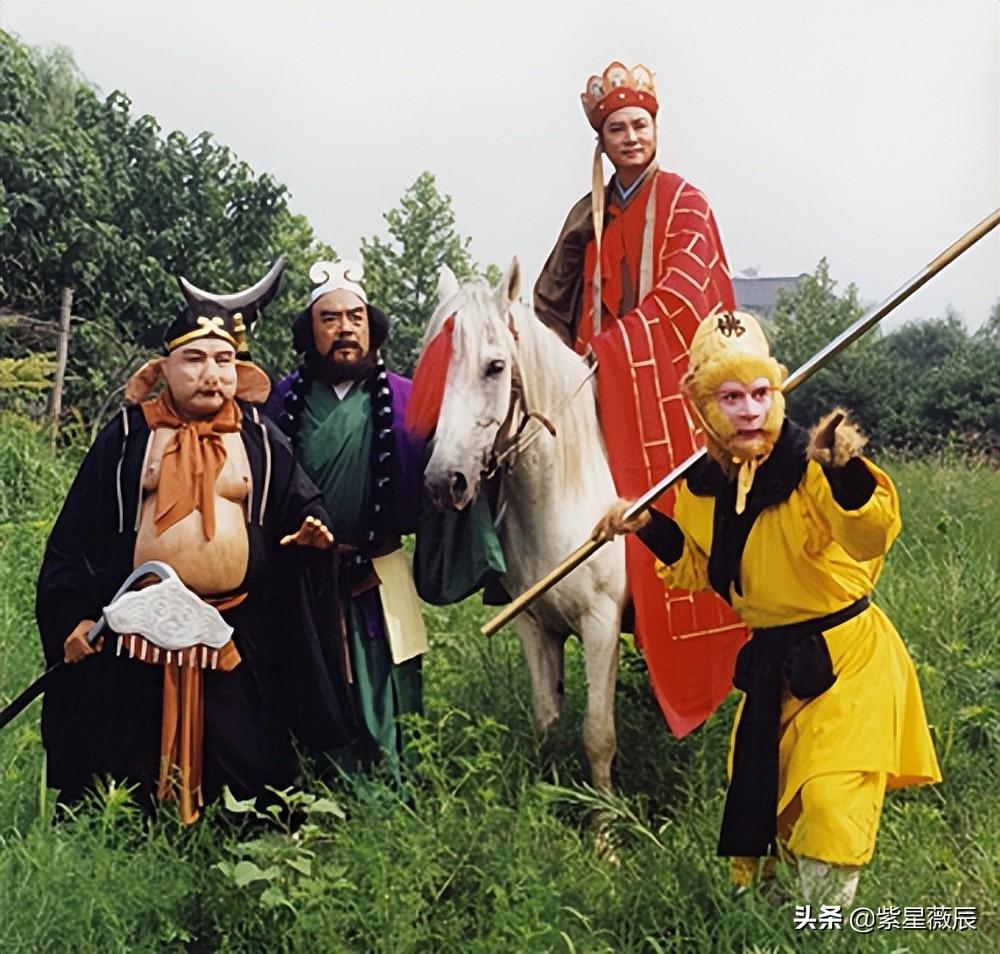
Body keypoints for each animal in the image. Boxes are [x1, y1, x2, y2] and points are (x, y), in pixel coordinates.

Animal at [421, 258, 627, 790]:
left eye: (495, 367)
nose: (442, 481)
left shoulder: (602, 622)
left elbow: (598, 734)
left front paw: (605, 814)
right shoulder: (534, 624)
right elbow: (547, 722)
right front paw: (550, 797)